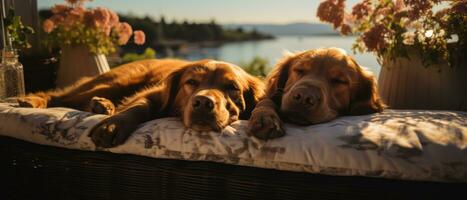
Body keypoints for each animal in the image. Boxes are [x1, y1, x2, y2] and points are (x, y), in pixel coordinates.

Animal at [18, 59, 266, 147]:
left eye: (232, 88)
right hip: (115, 82)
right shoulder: (153, 94)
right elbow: (138, 107)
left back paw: (103, 106)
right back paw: (32, 99)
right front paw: (112, 125)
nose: (203, 103)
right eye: (191, 82)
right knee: (61, 96)